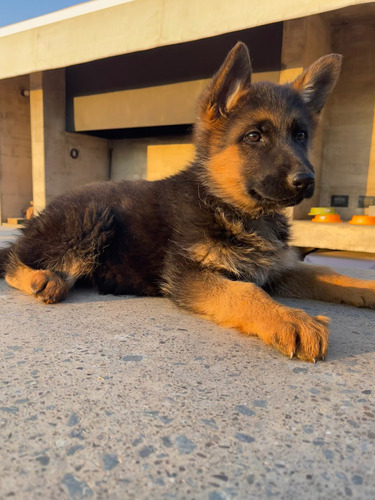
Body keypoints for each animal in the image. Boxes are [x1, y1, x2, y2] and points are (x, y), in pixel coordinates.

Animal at [0, 43, 375, 362]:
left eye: (300, 136)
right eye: (254, 137)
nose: (306, 181)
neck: (226, 204)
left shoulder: (274, 269)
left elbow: (325, 271)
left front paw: (366, 287)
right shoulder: (188, 274)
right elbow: (245, 292)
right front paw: (290, 318)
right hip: (90, 217)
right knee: (12, 262)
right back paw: (39, 279)